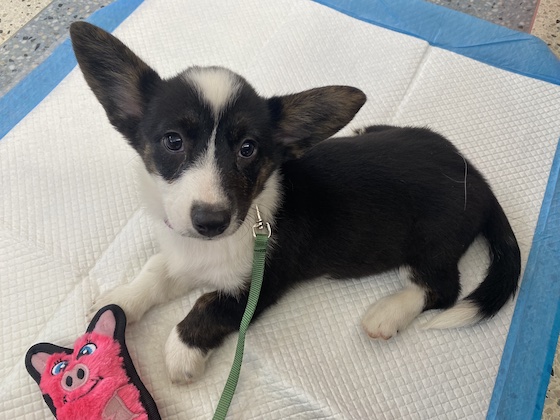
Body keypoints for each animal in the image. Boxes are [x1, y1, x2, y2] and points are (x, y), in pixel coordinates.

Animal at [69, 22, 520, 384]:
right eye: (173, 141)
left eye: (248, 149)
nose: (211, 222)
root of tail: (476, 177)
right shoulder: (183, 250)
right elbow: (153, 272)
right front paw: (119, 300)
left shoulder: (261, 284)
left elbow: (208, 305)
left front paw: (181, 353)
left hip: (432, 243)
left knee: (443, 288)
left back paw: (387, 313)